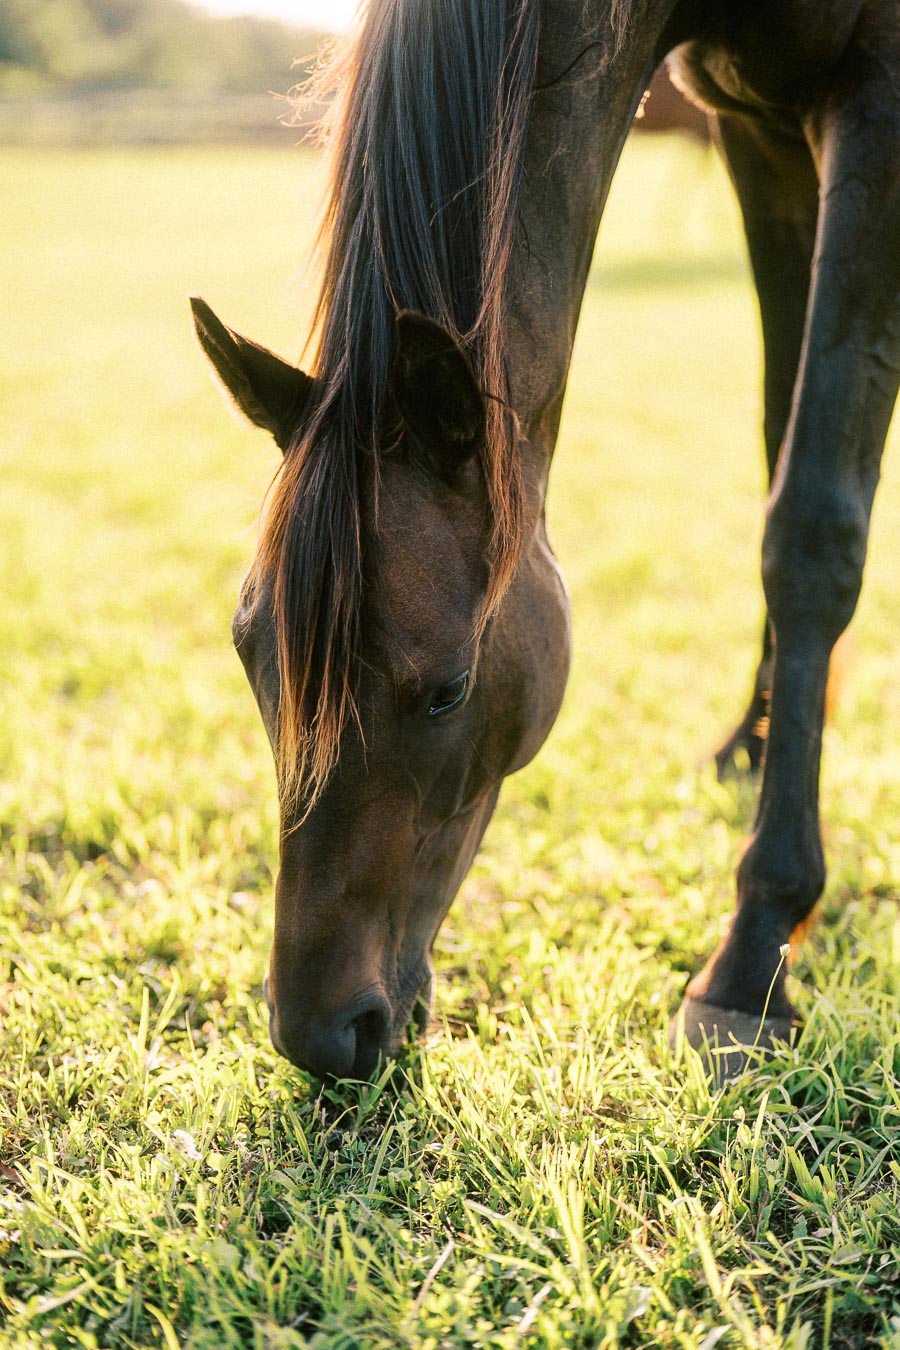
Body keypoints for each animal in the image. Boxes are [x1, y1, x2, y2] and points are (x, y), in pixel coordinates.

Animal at [192, 0, 899, 1081]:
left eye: (447, 690)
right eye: (249, 656)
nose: (320, 1033)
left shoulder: (875, 112)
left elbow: (813, 525)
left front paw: (752, 957)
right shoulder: (759, 131)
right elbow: (783, 436)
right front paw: (757, 733)